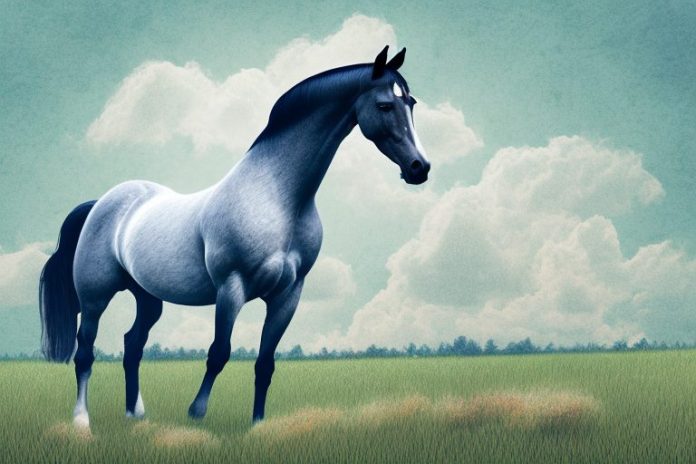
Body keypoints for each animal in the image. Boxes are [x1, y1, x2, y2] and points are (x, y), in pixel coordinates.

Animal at [39, 45, 430, 429]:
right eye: (385, 105)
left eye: (410, 103)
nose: (419, 168)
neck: (275, 197)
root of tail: (101, 204)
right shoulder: (232, 287)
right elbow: (219, 353)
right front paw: (196, 414)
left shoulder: (288, 295)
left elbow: (265, 363)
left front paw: (257, 424)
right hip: (95, 297)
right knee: (85, 352)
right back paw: (81, 421)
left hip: (148, 298)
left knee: (133, 345)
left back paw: (135, 413)